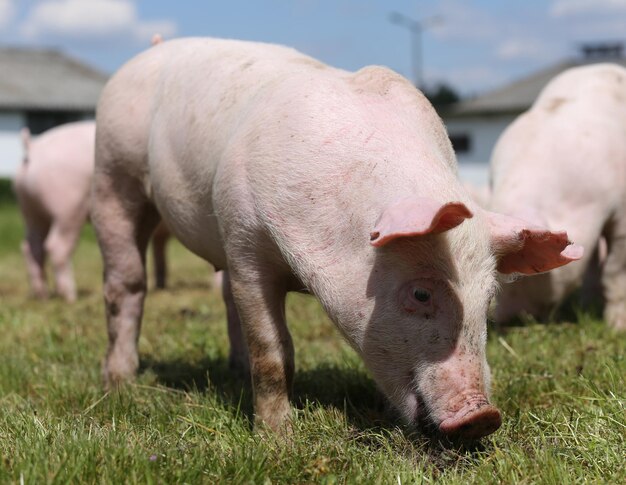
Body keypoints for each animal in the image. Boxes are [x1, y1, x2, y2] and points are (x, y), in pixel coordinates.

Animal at [14, 120, 171, 298]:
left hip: (30, 210)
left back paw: (43, 296)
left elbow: (159, 250)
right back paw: (70, 296)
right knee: (55, 245)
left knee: (31, 246)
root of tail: (32, 147)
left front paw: (161, 285)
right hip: (67, 207)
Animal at [92, 37, 580, 438]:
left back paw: (232, 372)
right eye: (421, 294)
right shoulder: (247, 241)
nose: (482, 416)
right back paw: (120, 382)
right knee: (125, 283)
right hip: (113, 173)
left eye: (489, 298)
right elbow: (272, 351)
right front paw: (278, 439)